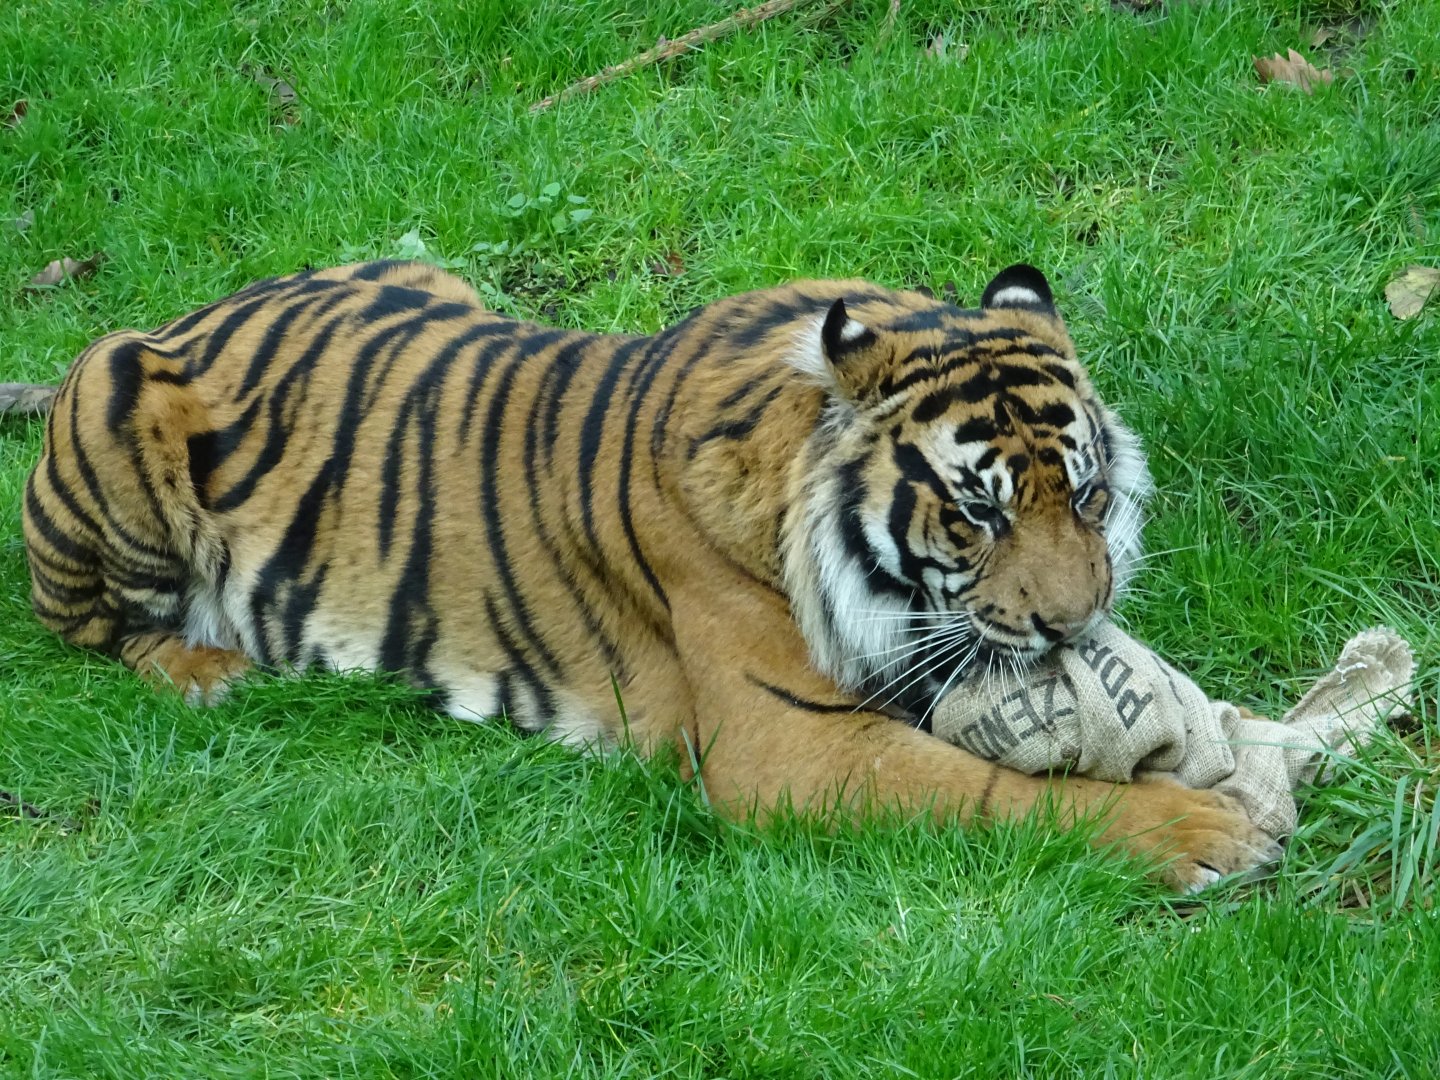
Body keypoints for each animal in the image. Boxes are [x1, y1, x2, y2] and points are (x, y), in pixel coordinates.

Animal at [16, 259, 1280, 891]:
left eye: (1090, 498)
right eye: (977, 515)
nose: (1074, 627)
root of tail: (195, 312)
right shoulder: (788, 751)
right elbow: (994, 795)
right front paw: (1204, 831)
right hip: (110, 401)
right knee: (96, 630)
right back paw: (204, 669)